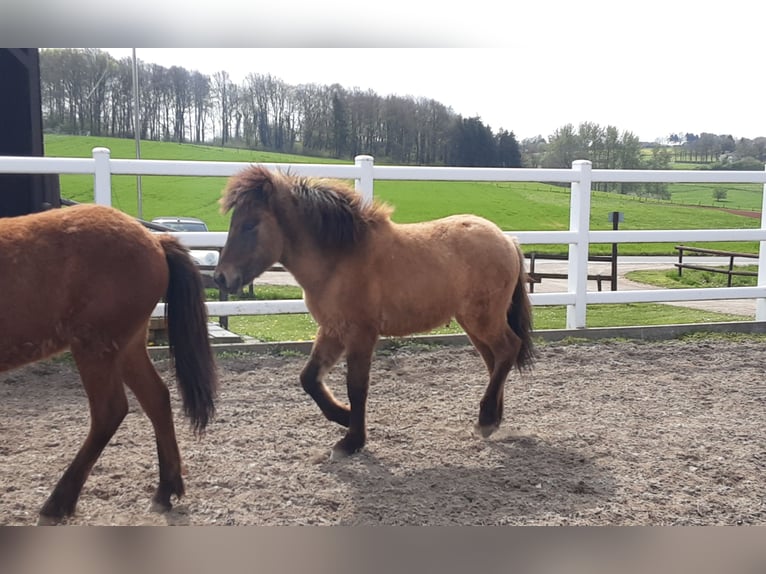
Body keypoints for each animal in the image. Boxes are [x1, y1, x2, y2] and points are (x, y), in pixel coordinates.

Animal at [2, 204, 219, 528]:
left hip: (95, 347)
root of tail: (154, 240)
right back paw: (165, 490)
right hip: (127, 347)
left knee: (110, 411)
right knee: (156, 398)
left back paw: (57, 503)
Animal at [213, 166, 536, 460]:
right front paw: (344, 417)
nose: (220, 278)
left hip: (483, 319)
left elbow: (356, 387)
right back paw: (493, 420)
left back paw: (486, 420)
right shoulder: (332, 330)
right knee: (495, 360)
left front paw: (352, 441)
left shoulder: (361, 334)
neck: (340, 258)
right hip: (473, 322)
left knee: (508, 349)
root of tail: (508, 240)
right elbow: (309, 378)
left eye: (250, 225)